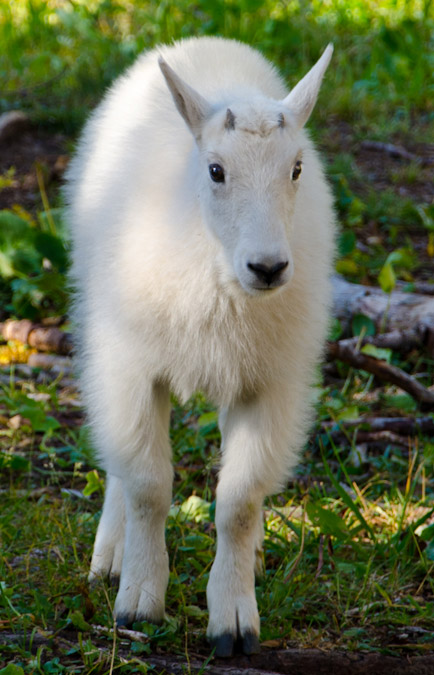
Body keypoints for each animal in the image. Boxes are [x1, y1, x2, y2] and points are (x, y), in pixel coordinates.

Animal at [65, 35, 336, 656]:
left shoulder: (268, 384)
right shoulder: (134, 368)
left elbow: (238, 501)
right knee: (118, 463)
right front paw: (139, 603)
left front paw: (234, 620)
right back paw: (109, 557)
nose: (268, 268)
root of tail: (200, 42)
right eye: (216, 170)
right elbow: (147, 486)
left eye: (296, 168)